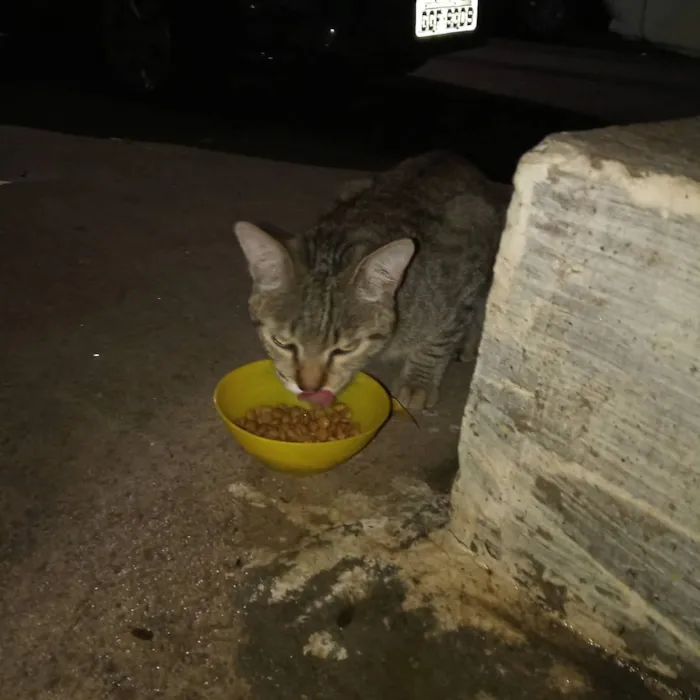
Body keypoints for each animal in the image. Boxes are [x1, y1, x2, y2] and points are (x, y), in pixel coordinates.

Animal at [232, 149, 512, 410]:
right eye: (281, 342)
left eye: (346, 349)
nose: (309, 388)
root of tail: (450, 154)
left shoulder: (463, 270)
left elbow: (439, 339)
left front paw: (419, 381)